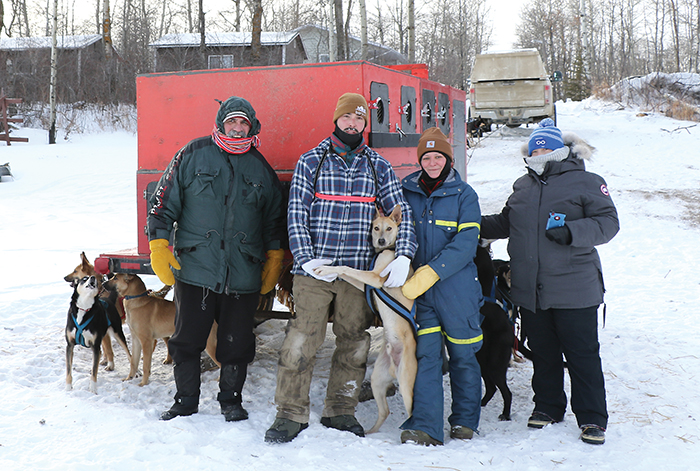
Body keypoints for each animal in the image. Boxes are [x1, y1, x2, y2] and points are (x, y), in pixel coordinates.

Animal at [312, 205, 416, 434]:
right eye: (376, 227)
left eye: (389, 228)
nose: (381, 241)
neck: (389, 250)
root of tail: (394, 366)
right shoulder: (366, 283)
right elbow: (347, 272)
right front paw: (327, 269)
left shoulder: (375, 278)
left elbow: (347, 268)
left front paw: (327, 268)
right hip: (378, 379)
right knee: (385, 411)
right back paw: (369, 433)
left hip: (406, 384)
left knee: (414, 411)